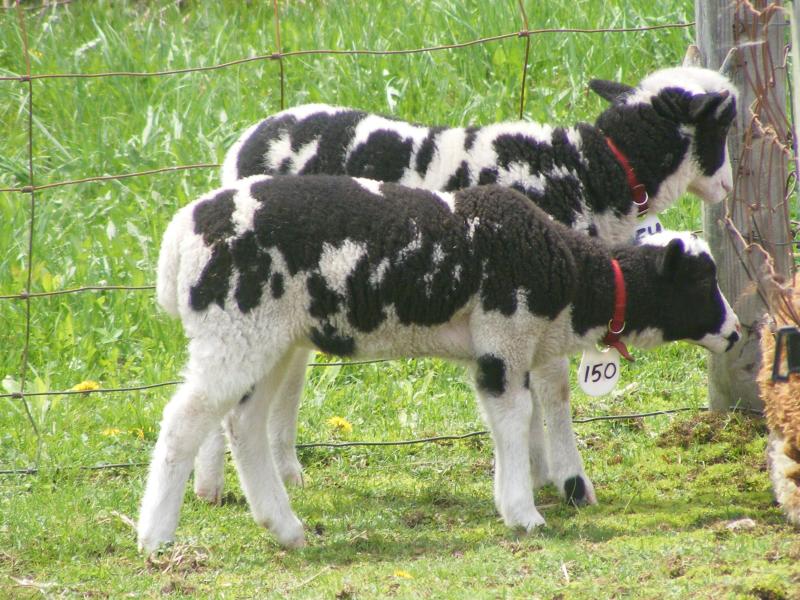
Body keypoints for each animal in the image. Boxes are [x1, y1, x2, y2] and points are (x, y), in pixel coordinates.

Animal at [137, 174, 741, 552]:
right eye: (701, 282)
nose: (736, 334)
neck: (570, 277)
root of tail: (181, 236)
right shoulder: (503, 337)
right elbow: (515, 419)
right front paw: (524, 513)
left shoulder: (507, 350)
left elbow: (528, 415)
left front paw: (540, 485)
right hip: (234, 331)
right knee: (184, 422)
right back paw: (155, 537)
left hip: (268, 340)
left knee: (244, 424)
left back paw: (284, 527)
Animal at [192, 62, 740, 509]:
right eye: (722, 125)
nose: (728, 188)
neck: (591, 171)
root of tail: (244, 145)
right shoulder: (534, 299)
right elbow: (554, 391)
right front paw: (570, 482)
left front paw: (537, 472)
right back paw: (213, 486)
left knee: (283, 376)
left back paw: (274, 474)